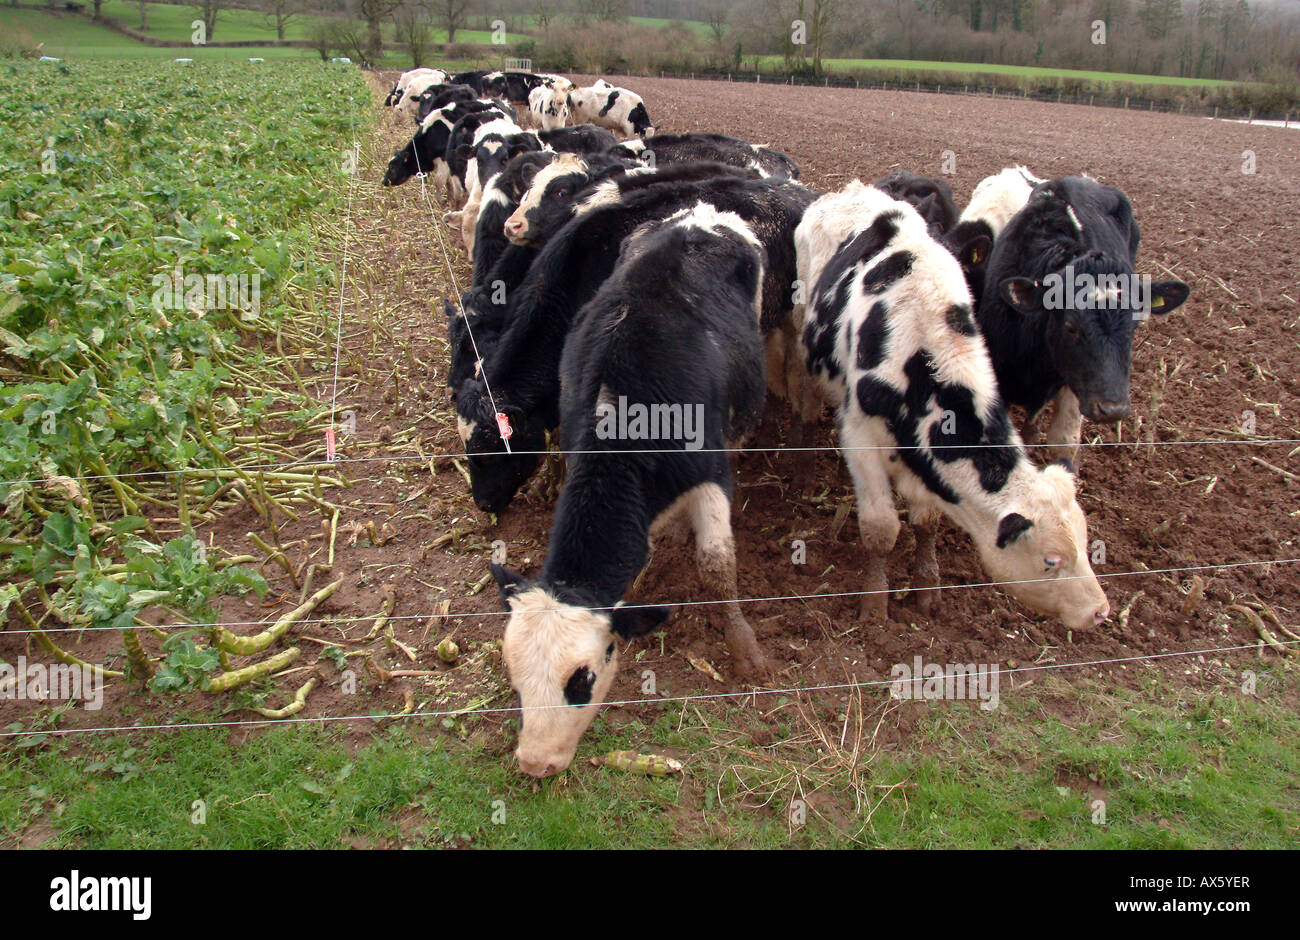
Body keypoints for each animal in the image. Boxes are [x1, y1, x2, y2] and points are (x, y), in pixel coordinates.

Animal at [489, 203, 771, 777]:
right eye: (514, 677)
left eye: (583, 679)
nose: (534, 763)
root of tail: (700, 213)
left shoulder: (712, 473)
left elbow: (717, 565)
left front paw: (743, 648)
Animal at [795, 180, 1110, 634]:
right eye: (1051, 559)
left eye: (1086, 542)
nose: (1099, 610)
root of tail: (851, 190)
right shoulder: (861, 440)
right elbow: (881, 530)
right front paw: (875, 606)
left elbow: (926, 521)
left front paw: (927, 588)